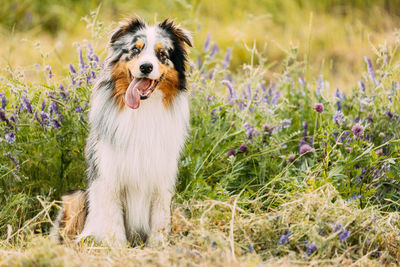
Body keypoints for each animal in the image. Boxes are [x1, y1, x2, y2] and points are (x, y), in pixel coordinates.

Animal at [50, 17, 192, 247]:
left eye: (162, 54)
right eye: (135, 50)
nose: (146, 67)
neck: (143, 110)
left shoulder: (162, 180)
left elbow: (159, 220)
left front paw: (158, 247)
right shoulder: (108, 176)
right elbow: (112, 221)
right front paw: (116, 248)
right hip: (76, 197)